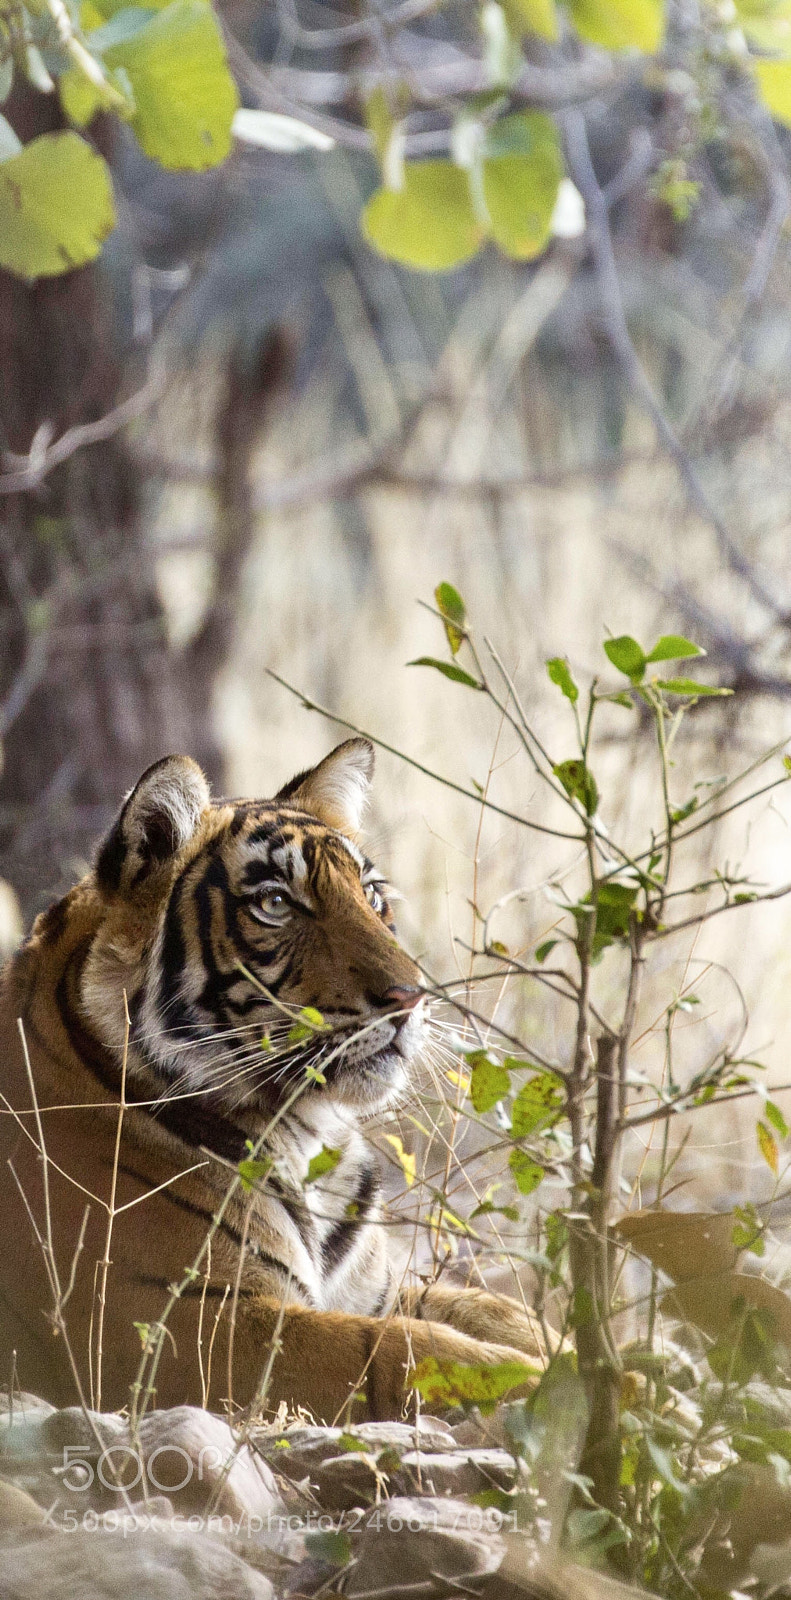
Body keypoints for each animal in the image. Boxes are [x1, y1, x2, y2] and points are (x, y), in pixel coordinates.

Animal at [0, 739, 555, 1421]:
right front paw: (594, 1388)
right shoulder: (178, 1326)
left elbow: (492, 1310)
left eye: (373, 897)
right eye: (276, 903)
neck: (305, 1134)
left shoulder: (370, 1288)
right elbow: (405, 1351)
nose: (411, 997)